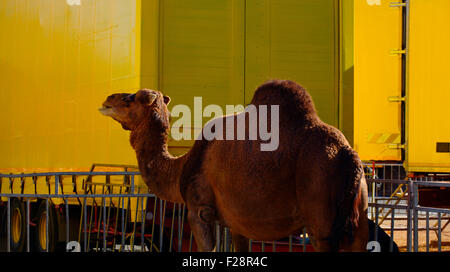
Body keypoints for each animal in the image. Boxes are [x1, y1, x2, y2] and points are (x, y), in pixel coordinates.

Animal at [99, 79, 370, 252]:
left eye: (130, 98)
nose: (107, 99)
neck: (182, 167)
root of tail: (350, 156)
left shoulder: (198, 211)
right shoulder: (237, 222)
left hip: (322, 224)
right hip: (359, 219)